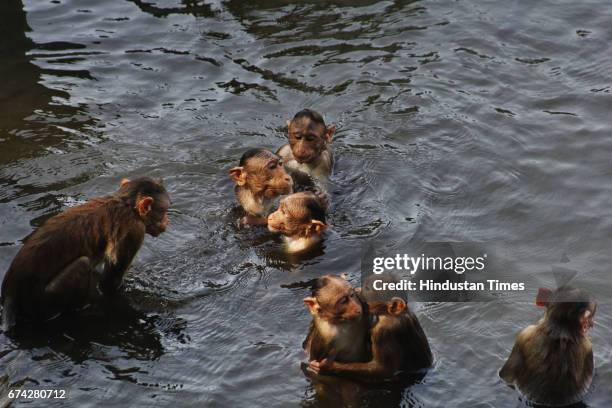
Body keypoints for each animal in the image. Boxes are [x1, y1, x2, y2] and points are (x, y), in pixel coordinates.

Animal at [2, 177, 171, 330]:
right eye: (163, 212)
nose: (167, 222)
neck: (127, 204)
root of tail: (9, 292)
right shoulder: (134, 230)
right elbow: (108, 283)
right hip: (44, 301)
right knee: (82, 264)